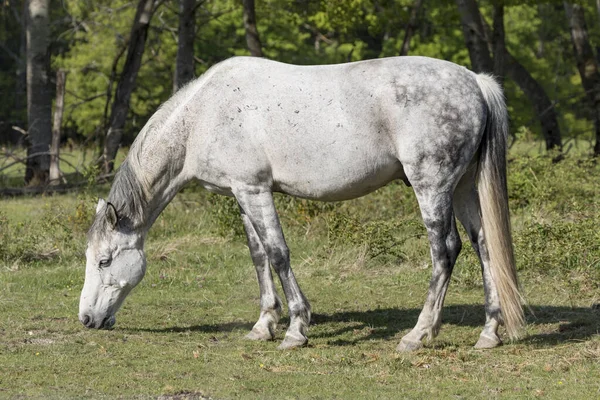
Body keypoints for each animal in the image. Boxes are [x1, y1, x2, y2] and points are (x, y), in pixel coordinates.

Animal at [81, 55, 524, 350]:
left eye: (104, 261)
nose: (86, 319)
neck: (202, 117)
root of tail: (475, 82)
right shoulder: (242, 193)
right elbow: (259, 255)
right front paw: (263, 325)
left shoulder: (255, 190)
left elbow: (278, 253)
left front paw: (296, 328)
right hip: (464, 188)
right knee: (485, 247)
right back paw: (489, 334)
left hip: (432, 187)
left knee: (445, 250)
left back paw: (418, 334)